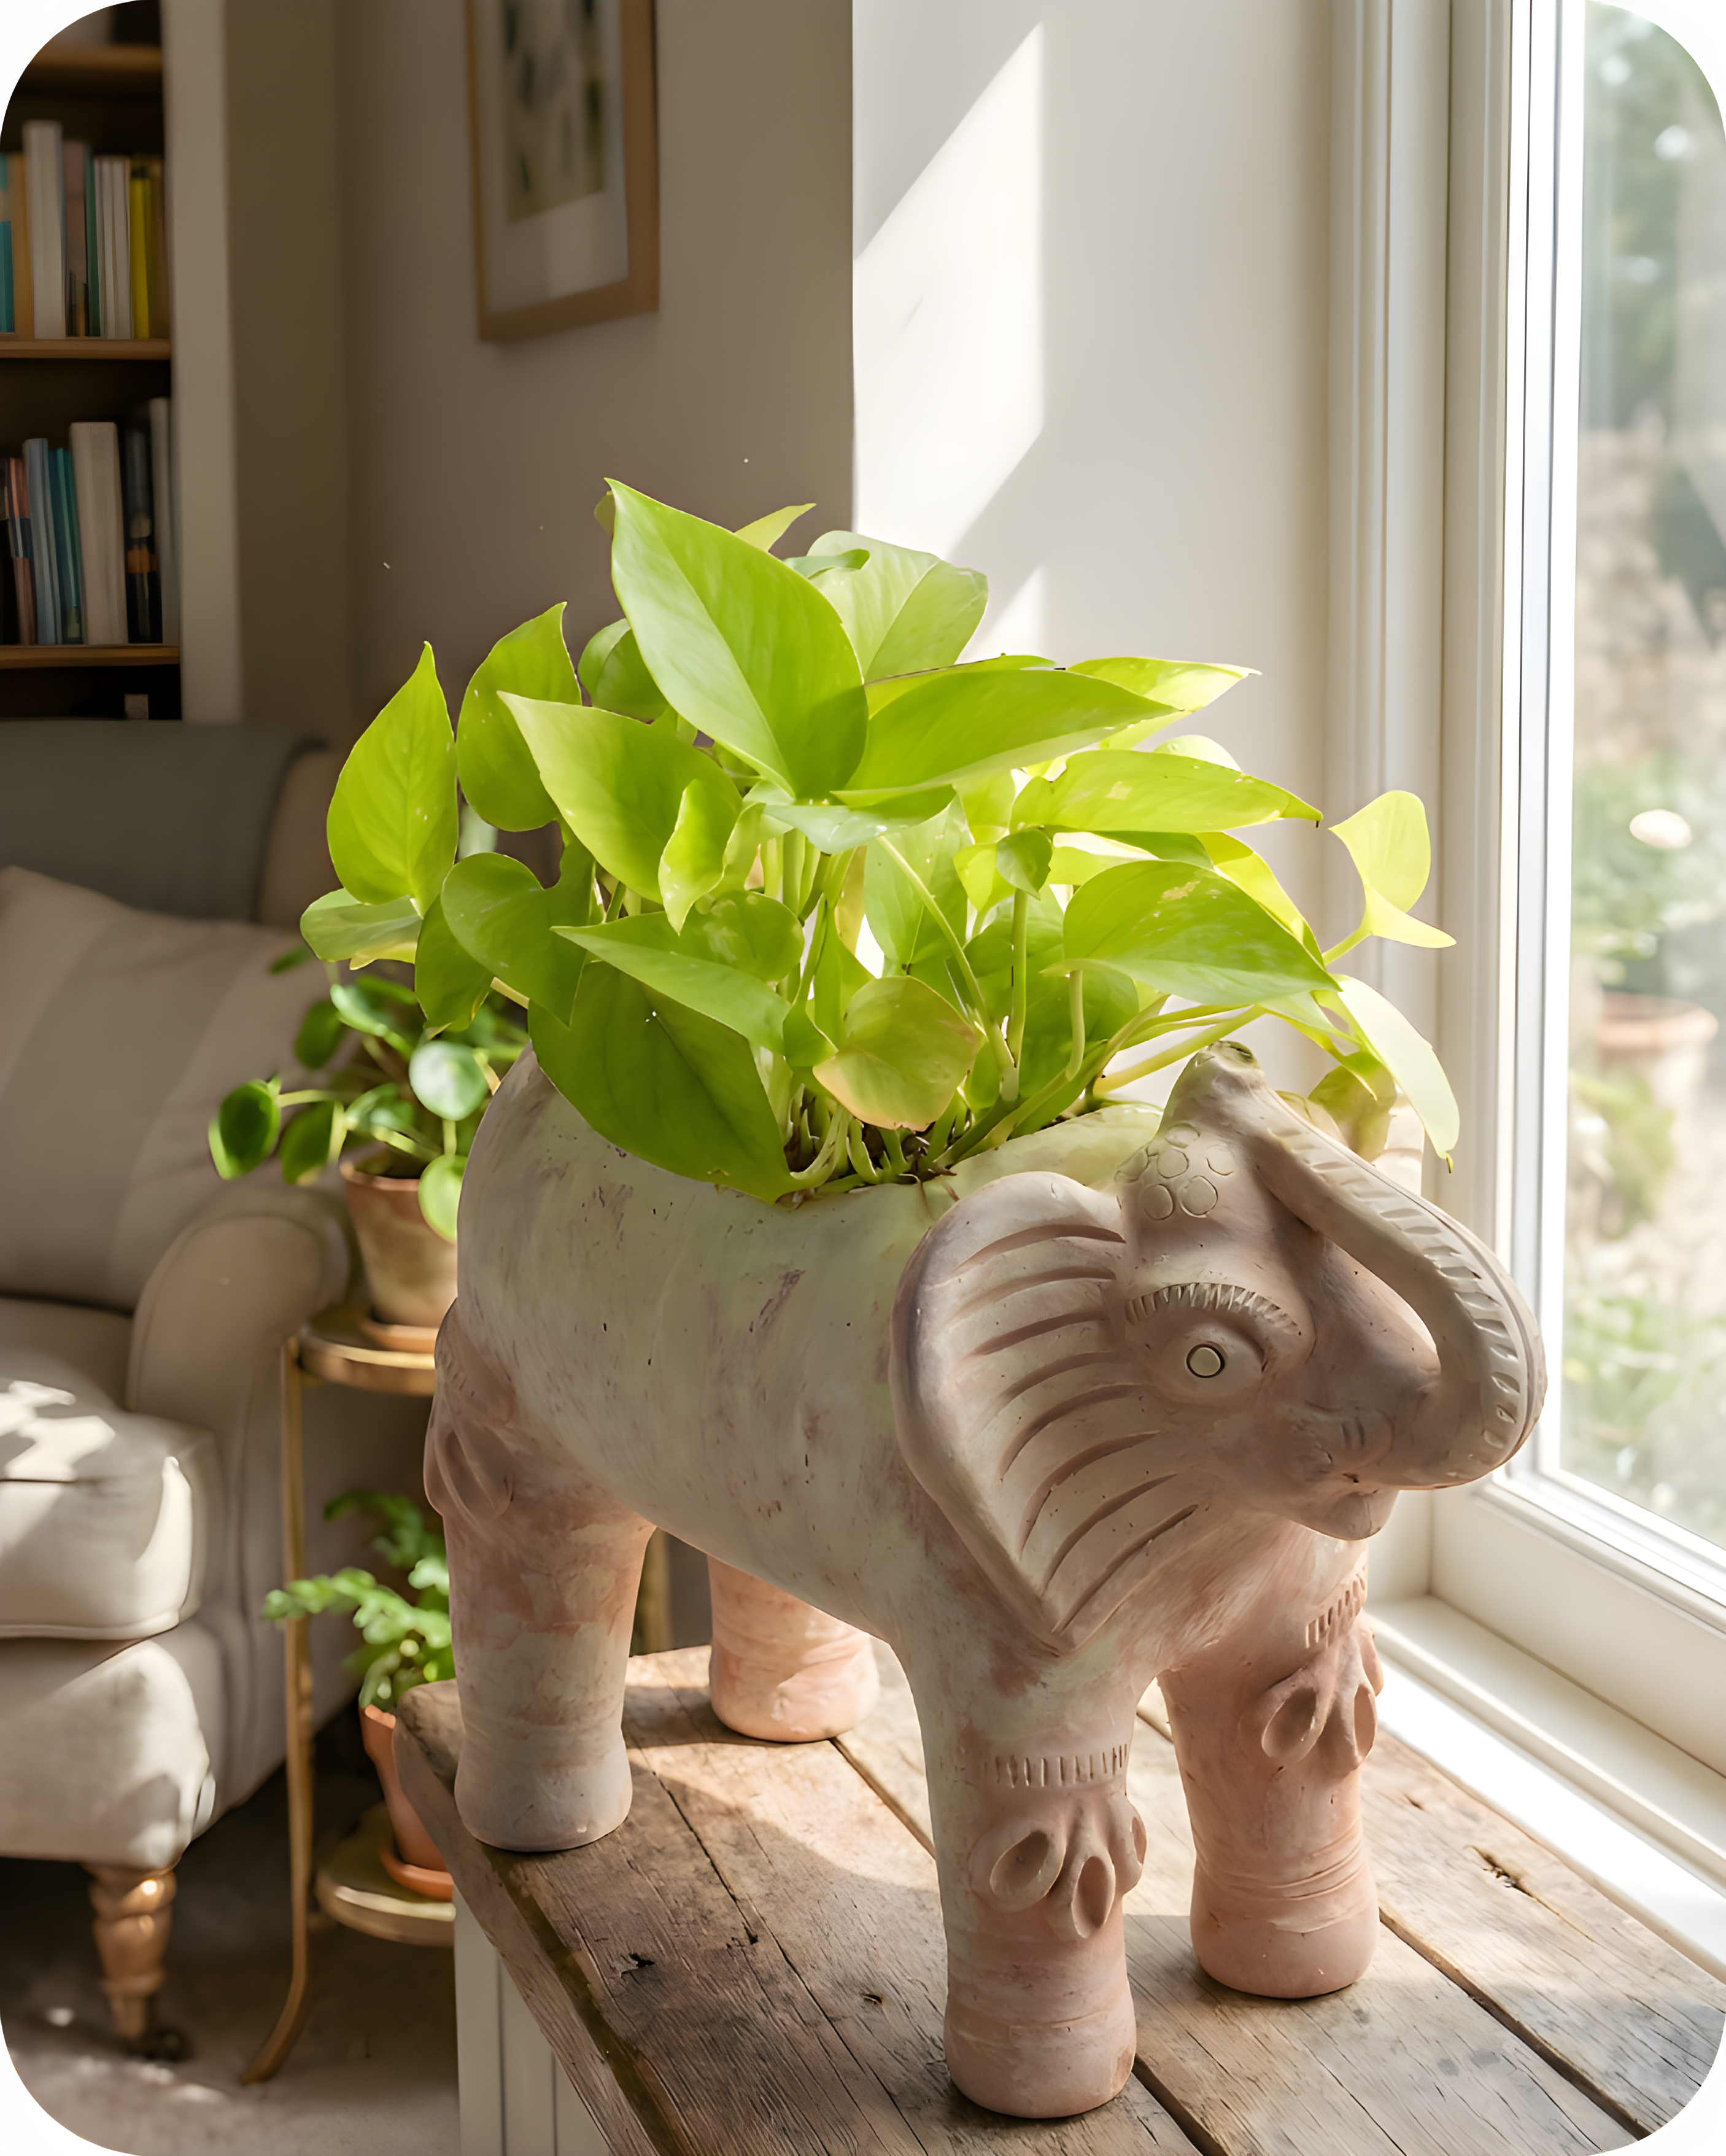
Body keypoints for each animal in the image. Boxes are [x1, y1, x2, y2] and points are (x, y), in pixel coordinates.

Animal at [424, 1037, 1543, 2120]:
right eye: (1211, 1360)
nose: (1225, 1071)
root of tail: (527, 1077)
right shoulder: (988, 1588)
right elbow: (1038, 1827)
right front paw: (1057, 2101)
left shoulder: (1278, 1565)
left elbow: (1292, 1734)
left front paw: (1301, 1983)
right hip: (515, 1356)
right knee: (532, 1537)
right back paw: (545, 1835)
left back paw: (794, 1725)